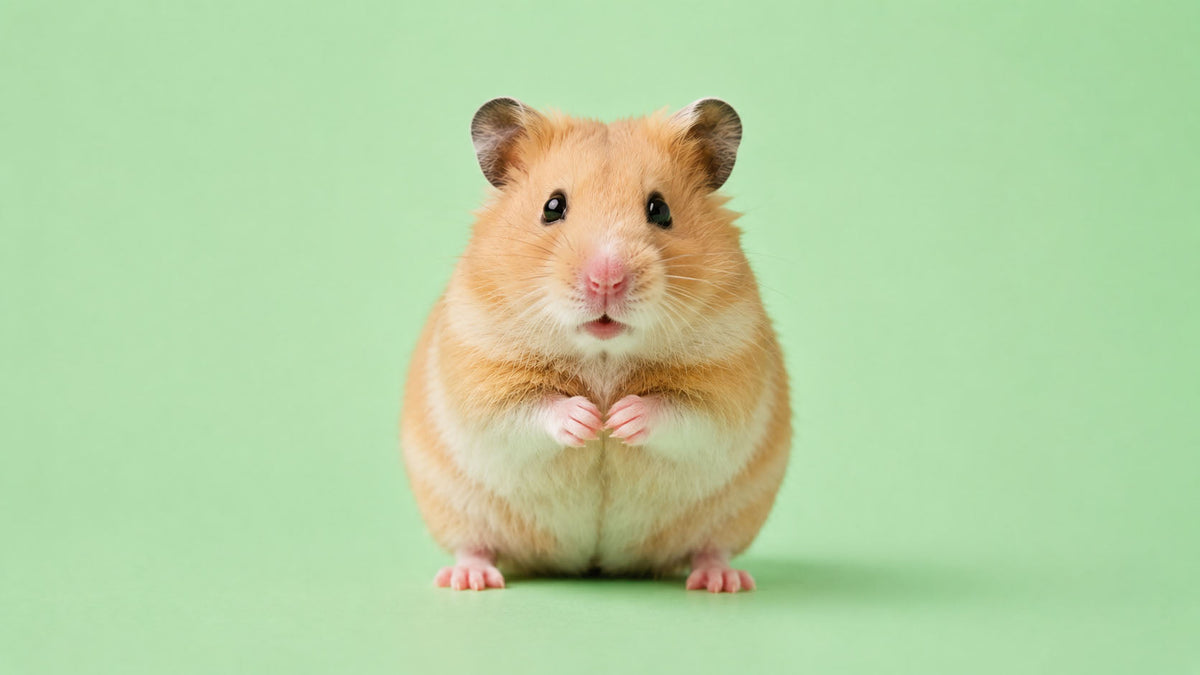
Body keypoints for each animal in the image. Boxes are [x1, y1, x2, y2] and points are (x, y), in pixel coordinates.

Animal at [401, 97, 791, 593]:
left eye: (660, 209)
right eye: (552, 207)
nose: (606, 279)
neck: (603, 353)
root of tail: (591, 564)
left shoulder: (728, 384)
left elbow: (682, 413)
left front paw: (618, 419)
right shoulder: (482, 377)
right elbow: (528, 409)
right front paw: (590, 420)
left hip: (730, 517)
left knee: (710, 548)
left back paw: (722, 581)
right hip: (457, 509)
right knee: (474, 544)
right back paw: (468, 579)